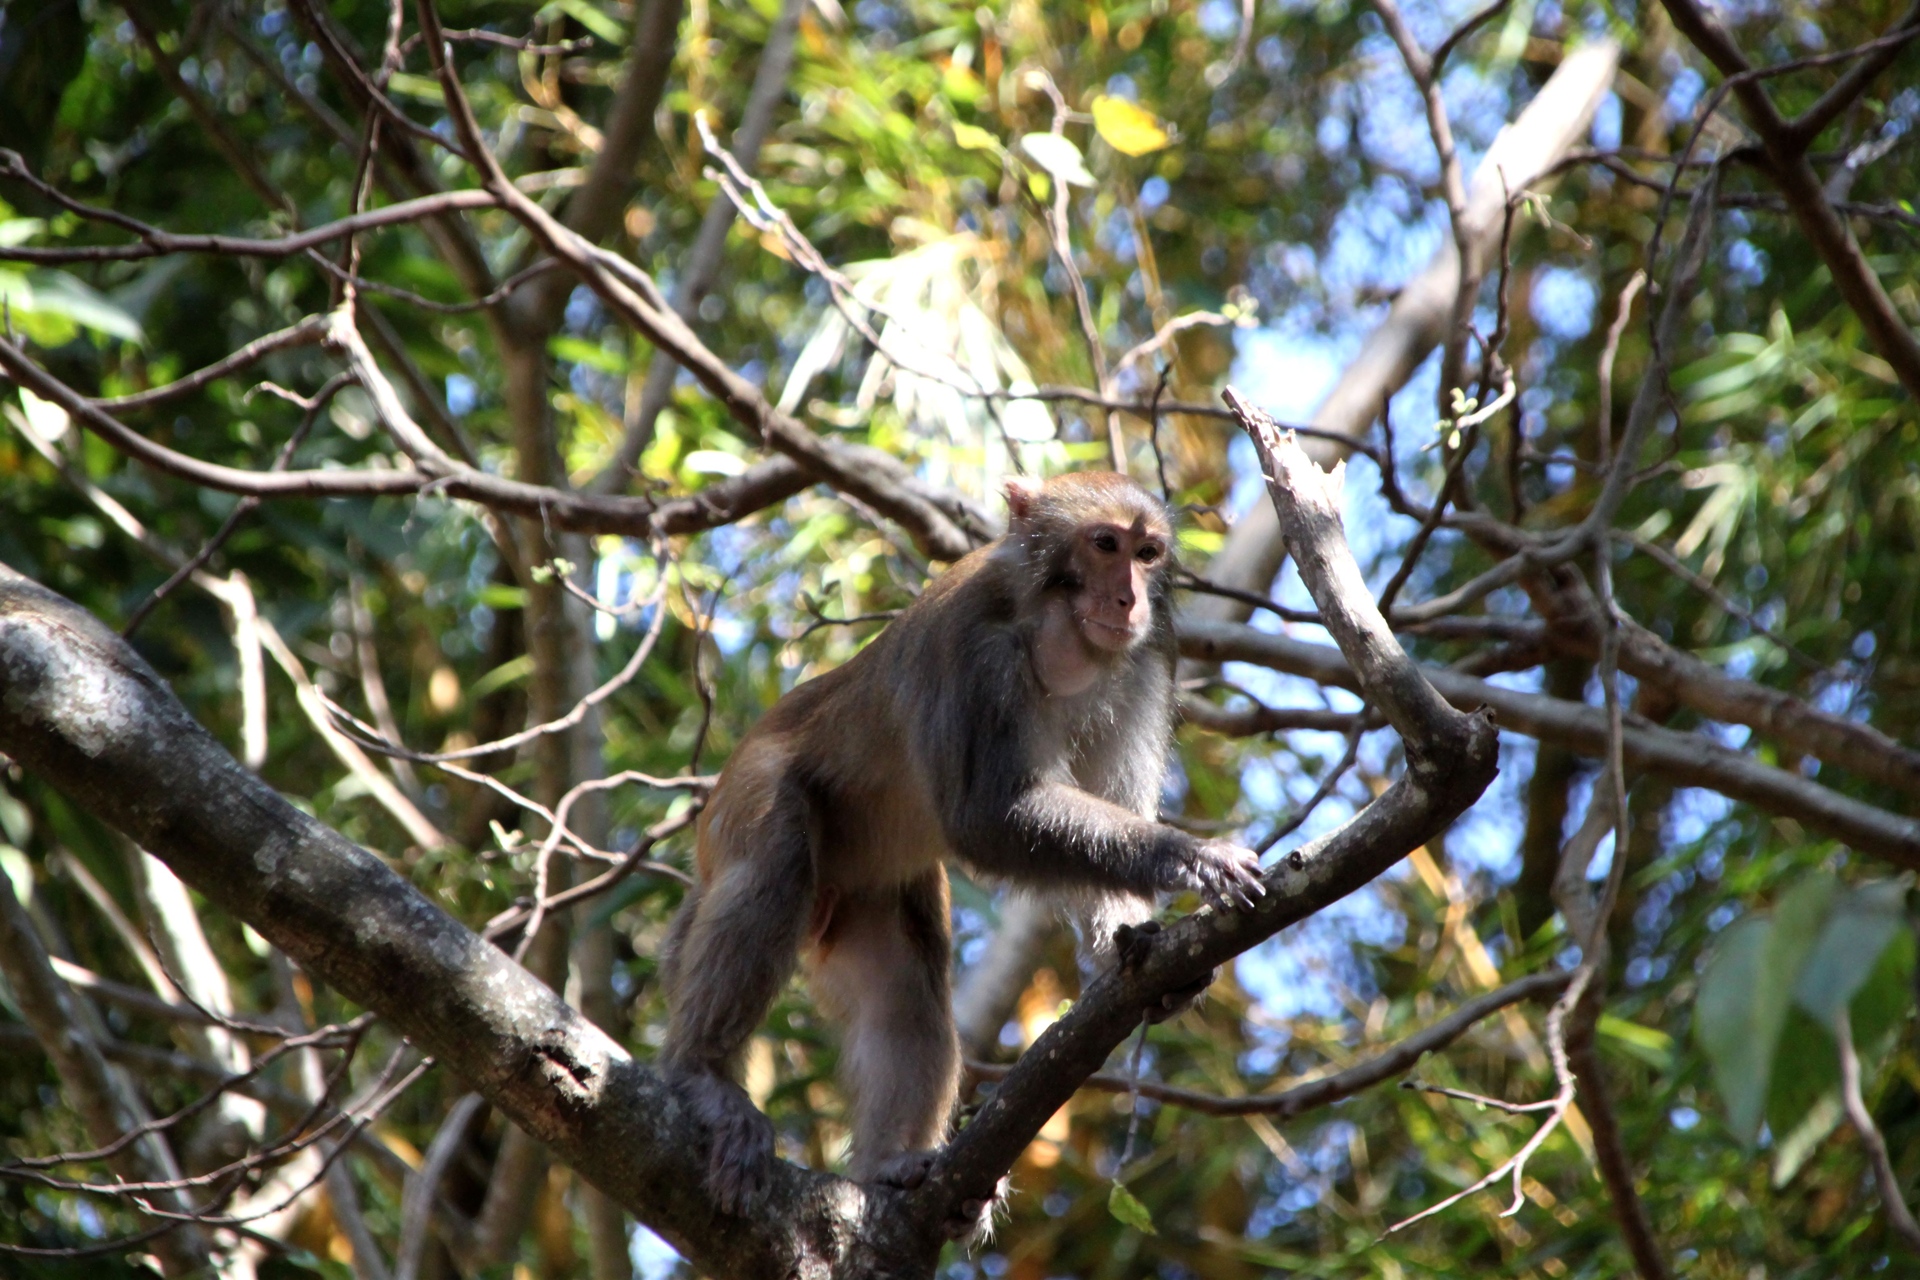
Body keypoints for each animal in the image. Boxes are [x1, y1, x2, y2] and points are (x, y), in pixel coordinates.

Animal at [652, 470, 1267, 1228]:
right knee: (772, 872)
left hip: (866, 883)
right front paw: (1189, 855)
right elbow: (987, 817)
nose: (1129, 597)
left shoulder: (1149, 658)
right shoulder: (974, 648)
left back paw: (892, 1164)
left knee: (902, 986)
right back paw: (703, 1074)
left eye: (1148, 552)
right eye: (1104, 545)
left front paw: (1131, 944)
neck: (1053, 625)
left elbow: (1109, 799)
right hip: (748, 798)